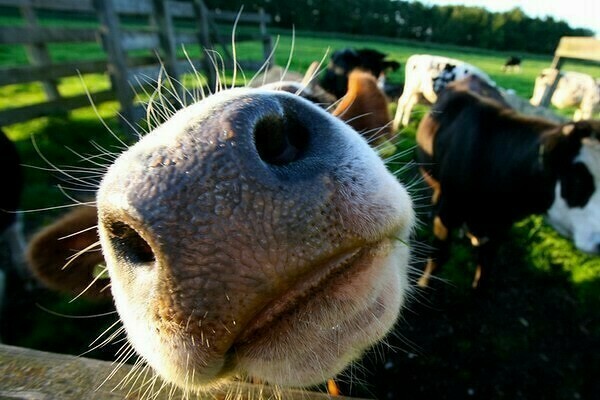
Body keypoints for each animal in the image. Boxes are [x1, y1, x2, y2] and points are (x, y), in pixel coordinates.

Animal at [418, 87, 600, 288]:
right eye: (577, 178)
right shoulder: (447, 214)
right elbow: (438, 256)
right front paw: (423, 284)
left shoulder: (500, 227)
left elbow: (484, 271)